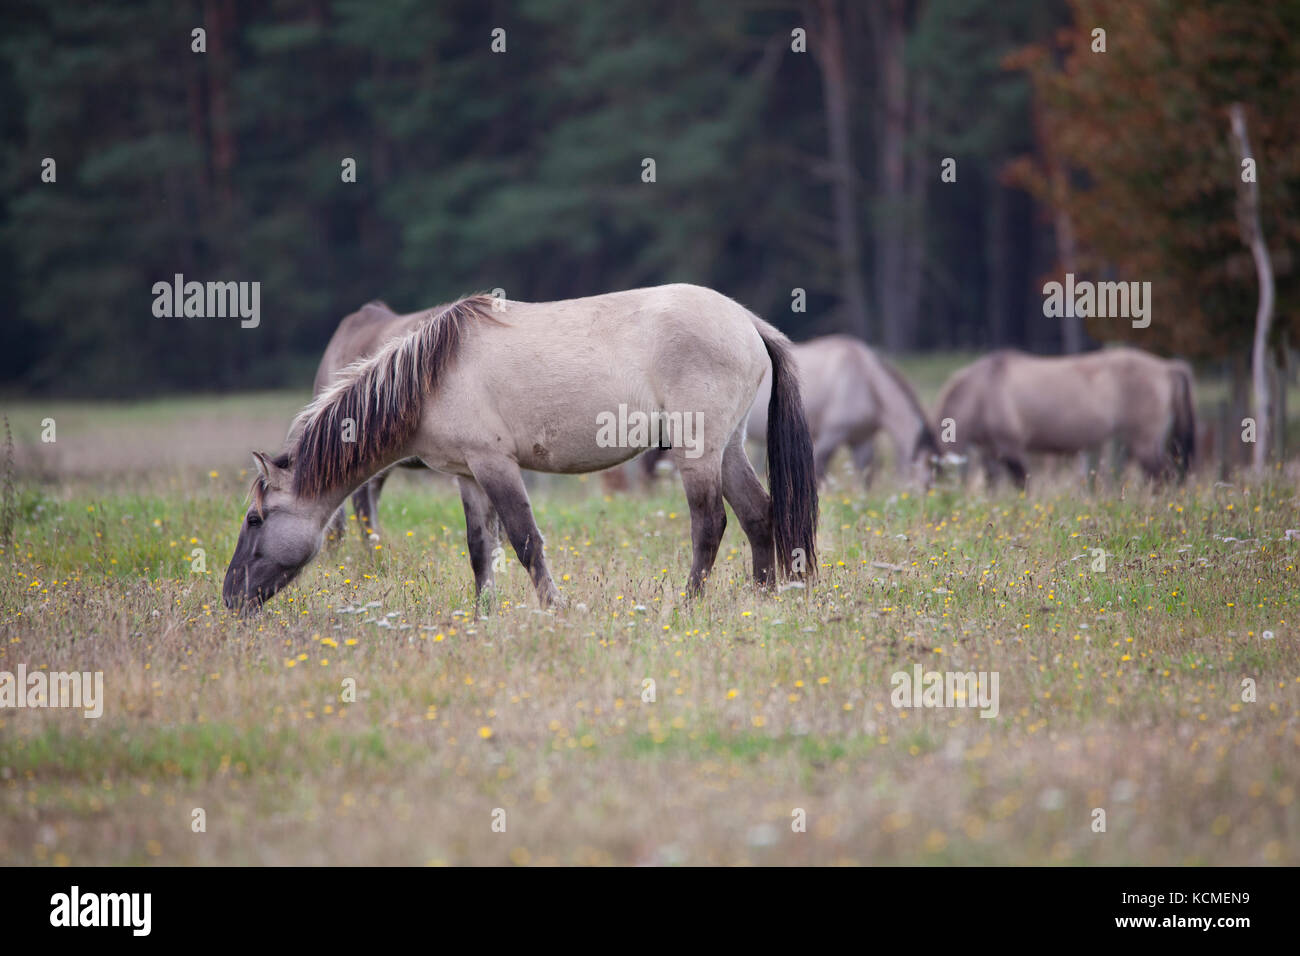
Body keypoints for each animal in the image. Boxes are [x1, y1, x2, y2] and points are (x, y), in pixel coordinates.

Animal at [222, 283, 811, 613]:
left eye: (254, 519)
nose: (230, 598)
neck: (432, 376)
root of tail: (746, 322)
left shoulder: (496, 465)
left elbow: (525, 541)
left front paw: (554, 608)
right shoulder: (467, 475)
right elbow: (480, 548)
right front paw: (484, 614)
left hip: (698, 451)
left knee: (710, 525)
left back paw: (687, 608)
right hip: (728, 449)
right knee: (759, 514)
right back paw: (763, 600)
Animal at [935, 348, 1196, 489]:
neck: (981, 390)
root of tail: (1167, 367)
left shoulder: (1011, 445)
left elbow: (1023, 484)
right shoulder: (990, 450)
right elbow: (991, 485)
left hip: (1144, 440)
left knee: (1163, 475)